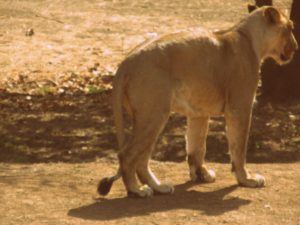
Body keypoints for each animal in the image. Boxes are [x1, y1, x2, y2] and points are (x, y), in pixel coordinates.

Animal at [98, 6, 298, 198]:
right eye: (290, 28)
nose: (296, 47)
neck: (249, 38)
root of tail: (126, 62)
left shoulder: (199, 112)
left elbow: (197, 146)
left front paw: (201, 175)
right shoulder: (239, 107)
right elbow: (239, 147)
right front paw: (246, 179)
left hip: (150, 117)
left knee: (141, 159)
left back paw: (159, 187)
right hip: (153, 115)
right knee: (126, 155)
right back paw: (137, 190)